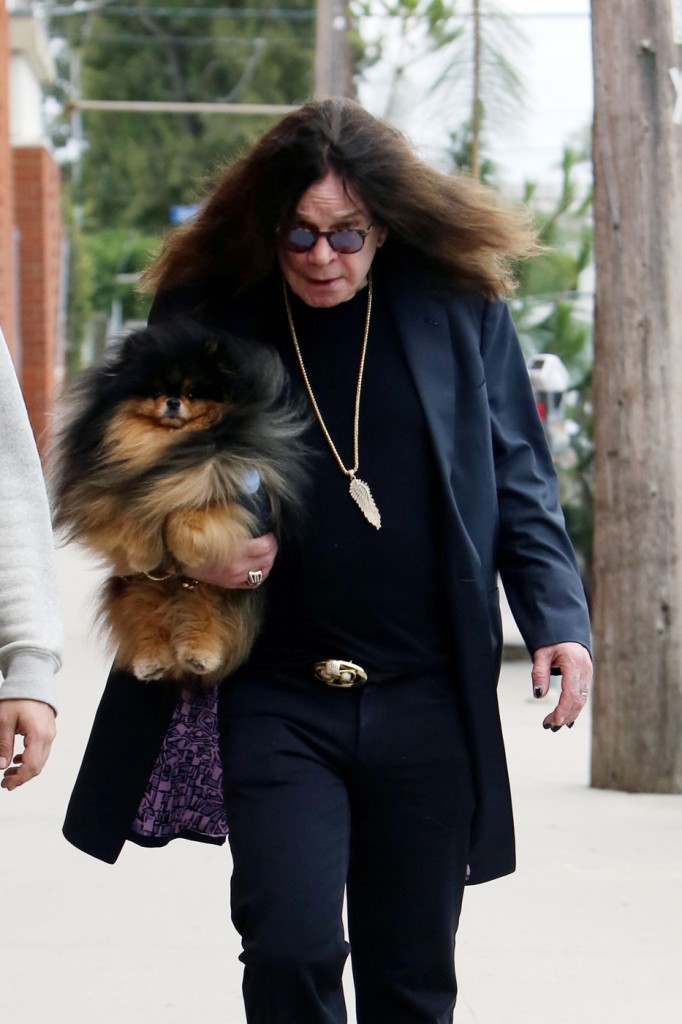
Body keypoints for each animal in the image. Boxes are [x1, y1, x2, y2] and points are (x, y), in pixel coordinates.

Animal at [51, 319, 307, 688]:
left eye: (191, 394)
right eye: (155, 392)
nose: (172, 402)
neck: (169, 448)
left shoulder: (233, 479)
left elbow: (188, 510)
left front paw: (186, 544)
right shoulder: (107, 487)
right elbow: (130, 514)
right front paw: (142, 549)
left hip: (215, 591)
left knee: (205, 613)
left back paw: (199, 655)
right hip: (138, 588)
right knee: (148, 617)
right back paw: (152, 660)